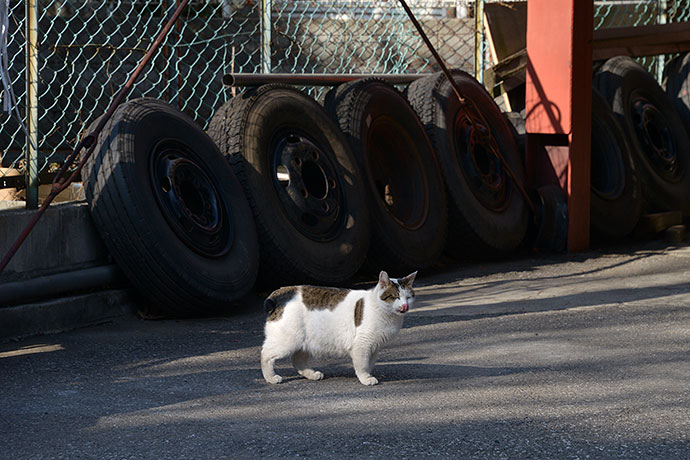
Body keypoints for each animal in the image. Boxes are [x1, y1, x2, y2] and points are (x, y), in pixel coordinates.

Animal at [260, 270, 416, 384]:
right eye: (395, 297)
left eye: (408, 297)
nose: (405, 306)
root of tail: (282, 291)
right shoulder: (362, 344)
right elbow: (362, 364)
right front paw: (365, 378)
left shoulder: (374, 347)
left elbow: (369, 363)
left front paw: (367, 374)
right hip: (287, 341)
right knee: (265, 355)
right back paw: (271, 378)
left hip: (304, 341)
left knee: (297, 360)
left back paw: (312, 374)